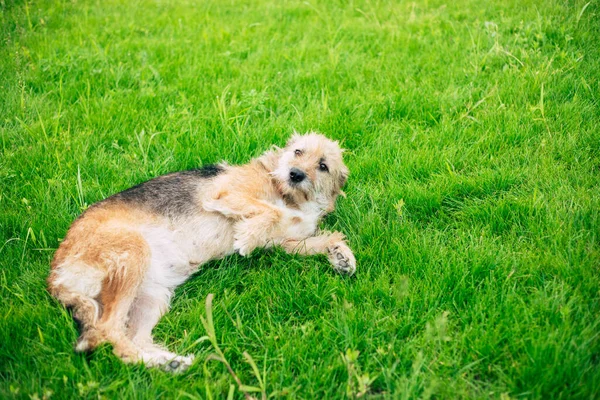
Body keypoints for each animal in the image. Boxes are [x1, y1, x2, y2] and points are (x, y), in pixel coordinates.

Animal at [48, 134, 356, 372]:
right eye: (297, 152)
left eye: (323, 166)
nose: (295, 174)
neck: (291, 197)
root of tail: (55, 276)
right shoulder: (222, 194)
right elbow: (268, 211)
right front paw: (247, 236)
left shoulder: (287, 243)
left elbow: (322, 239)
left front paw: (341, 256)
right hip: (132, 254)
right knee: (109, 331)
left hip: (151, 296)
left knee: (133, 336)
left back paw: (166, 363)